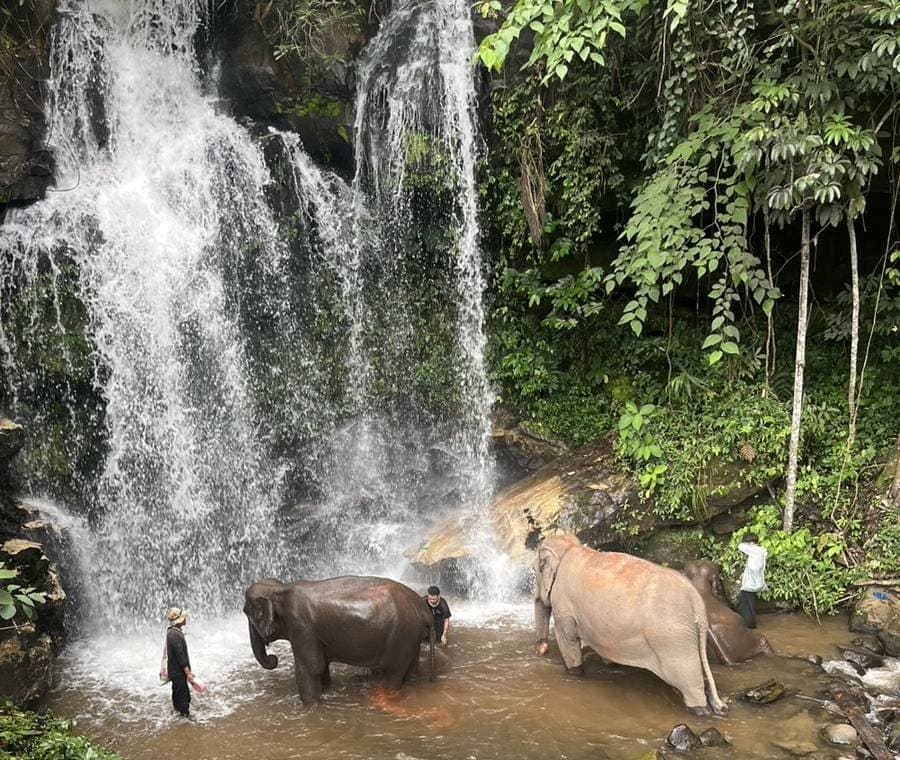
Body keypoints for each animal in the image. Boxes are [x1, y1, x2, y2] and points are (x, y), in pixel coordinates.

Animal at [244, 575, 435, 704]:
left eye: (247, 612)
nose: (273, 659)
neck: (279, 589)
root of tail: (425, 610)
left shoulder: (301, 626)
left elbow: (311, 667)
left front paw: (309, 707)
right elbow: (321, 666)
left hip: (403, 635)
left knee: (394, 673)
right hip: (411, 635)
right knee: (410, 669)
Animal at [534, 534, 727, 716]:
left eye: (536, 570)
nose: (542, 649)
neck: (569, 548)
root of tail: (697, 603)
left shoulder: (563, 603)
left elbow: (568, 639)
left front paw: (575, 674)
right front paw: (610, 666)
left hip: (673, 639)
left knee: (686, 677)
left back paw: (700, 710)